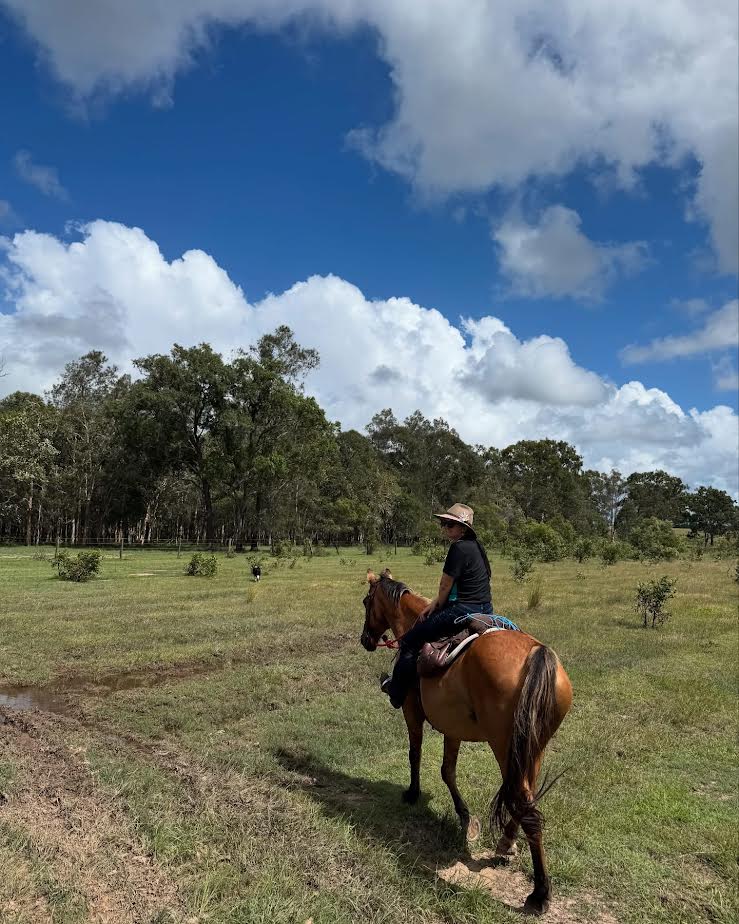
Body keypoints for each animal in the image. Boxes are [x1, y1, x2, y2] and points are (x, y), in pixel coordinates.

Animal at [360, 569, 573, 916]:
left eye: (367, 602)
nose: (365, 639)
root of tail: (537, 655)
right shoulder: (453, 728)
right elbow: (448, 770)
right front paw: (466, 820)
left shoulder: (411, 711)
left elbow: (415, 754)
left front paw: (413, 793)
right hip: (532, 747)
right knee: (524, 798)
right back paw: (506, 845)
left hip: (504, 744)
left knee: (523, 803)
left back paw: (540, 893)